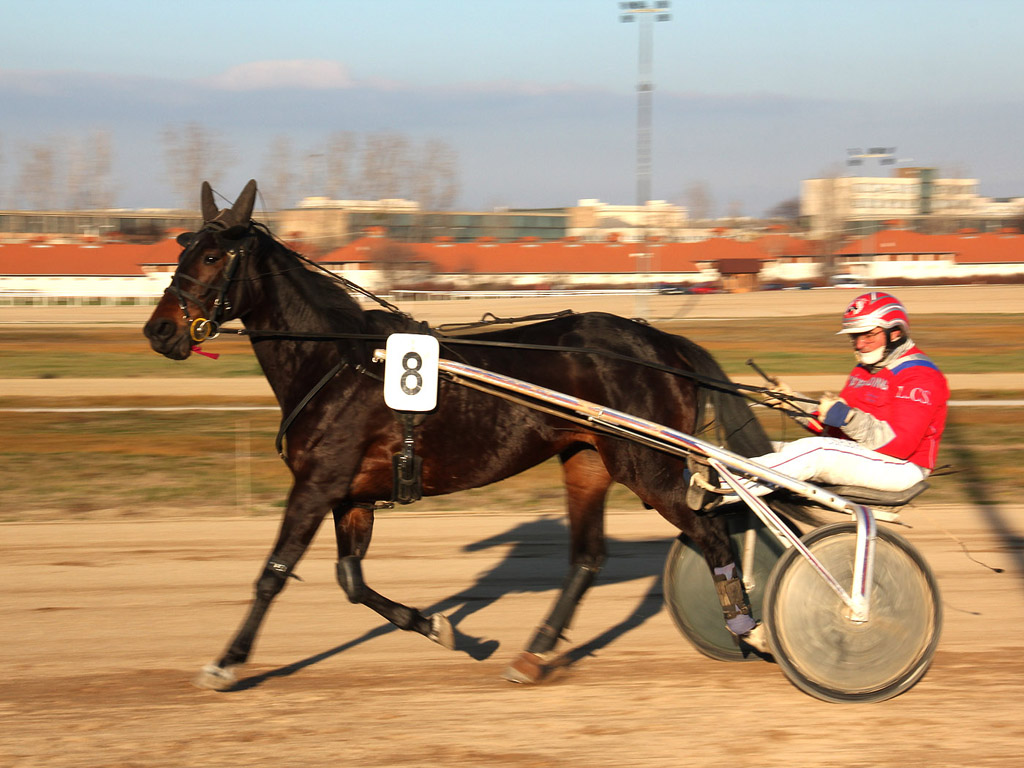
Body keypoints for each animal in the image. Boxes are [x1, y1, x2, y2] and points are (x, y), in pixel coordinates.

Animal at [146, 182, 774, 692]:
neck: (338, 360)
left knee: (711, 534)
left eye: (210, 255)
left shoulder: (316, 484)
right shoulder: (349, 495)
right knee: (588, 559)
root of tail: (665, 345)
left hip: (647, 467)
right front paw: (438, 626)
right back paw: (533, 655)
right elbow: (351, 581)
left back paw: (750, 631)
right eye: (181, 250)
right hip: (586, 462)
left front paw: (226, 662)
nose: (159, 331)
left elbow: (273, 573)